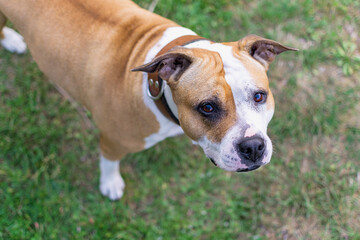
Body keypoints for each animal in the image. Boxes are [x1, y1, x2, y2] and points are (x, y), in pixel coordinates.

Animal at [0, 0, 296, 200]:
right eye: (207, 107)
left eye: (259, 96)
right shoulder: (112, 139)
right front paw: (110, 184)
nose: (253, 147)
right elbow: (109, 161)